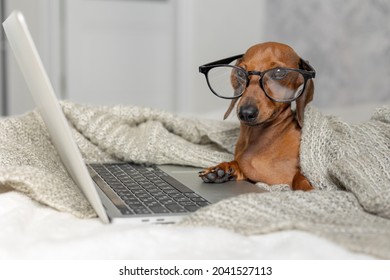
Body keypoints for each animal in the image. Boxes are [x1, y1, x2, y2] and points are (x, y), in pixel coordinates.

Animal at [200, 41, 316, 190]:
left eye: (279, 72)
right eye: (240, 72)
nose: (246, 113)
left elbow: (299, 178)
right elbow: (238, 166)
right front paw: (222, 169)